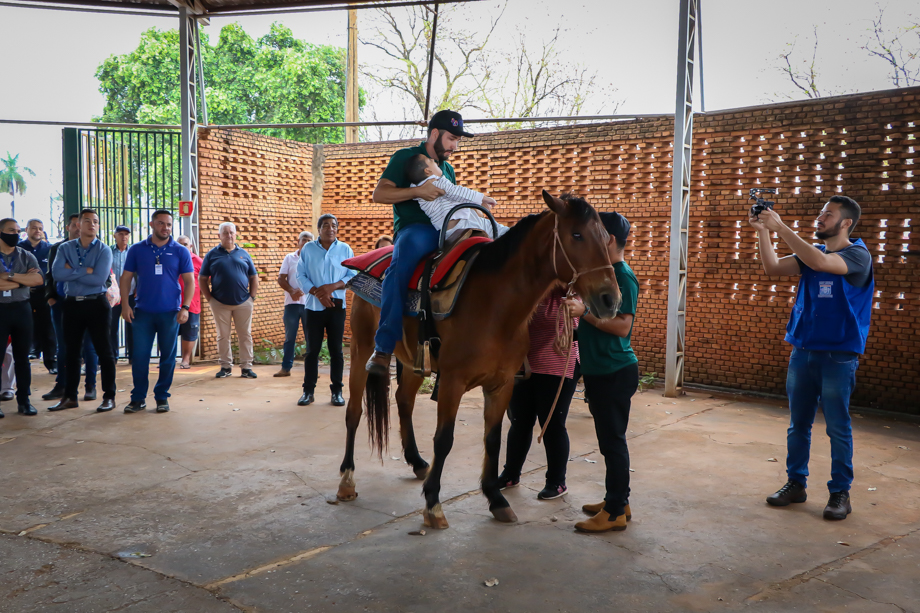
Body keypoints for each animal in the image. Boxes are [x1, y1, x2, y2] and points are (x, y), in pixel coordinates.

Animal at [336, 190, 620, 524]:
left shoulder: (502, 384)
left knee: (403, 401)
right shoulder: (452, 382)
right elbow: (444, 439)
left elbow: (493, 439)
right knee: (354, 411)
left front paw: (495, 498)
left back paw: (417, 462)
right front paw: (433, 502)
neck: (495, 304)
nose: (610, 300)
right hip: (362, 348)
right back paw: (347, 479)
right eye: (576, 234)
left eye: (605, 237)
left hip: (413, 362)